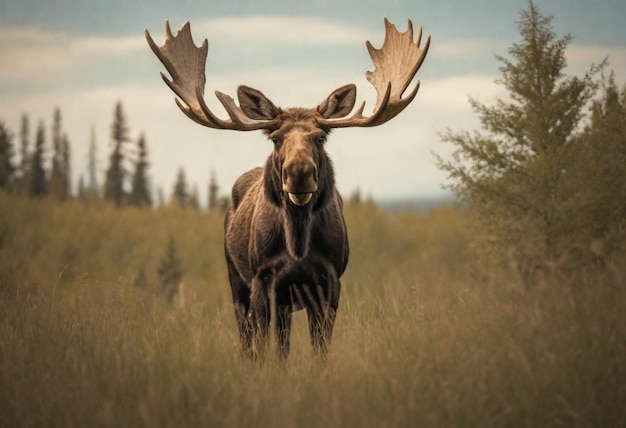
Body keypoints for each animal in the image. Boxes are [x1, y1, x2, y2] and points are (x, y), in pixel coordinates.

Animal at [145, 18, 428, 360]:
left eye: (320, 136)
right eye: (276, 138)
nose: (299, 173)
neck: (297, 246)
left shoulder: (329, 284)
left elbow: (318, 350)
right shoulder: (263, 280)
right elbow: (262, 348)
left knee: (282, 342)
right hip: (236, 279)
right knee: (248, 338)